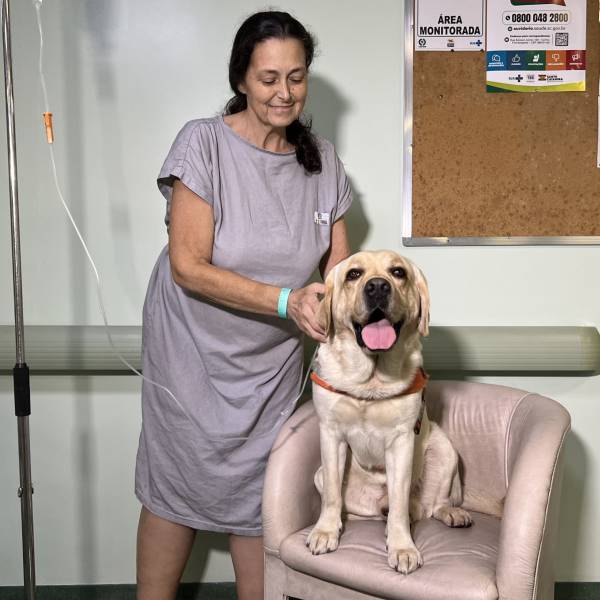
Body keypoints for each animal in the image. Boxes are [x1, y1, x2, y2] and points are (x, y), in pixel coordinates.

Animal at [310, 251, 474, 576]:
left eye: (398, 272)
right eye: (353, 274)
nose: (377, 287)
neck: (370, 381)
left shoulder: (401, 441)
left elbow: (399, 502)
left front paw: (402, 547)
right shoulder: (331, 434)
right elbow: (332, 496)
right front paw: (325, 531)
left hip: (445, 451)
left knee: (430, 505)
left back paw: (451, 513)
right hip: (319, 475)